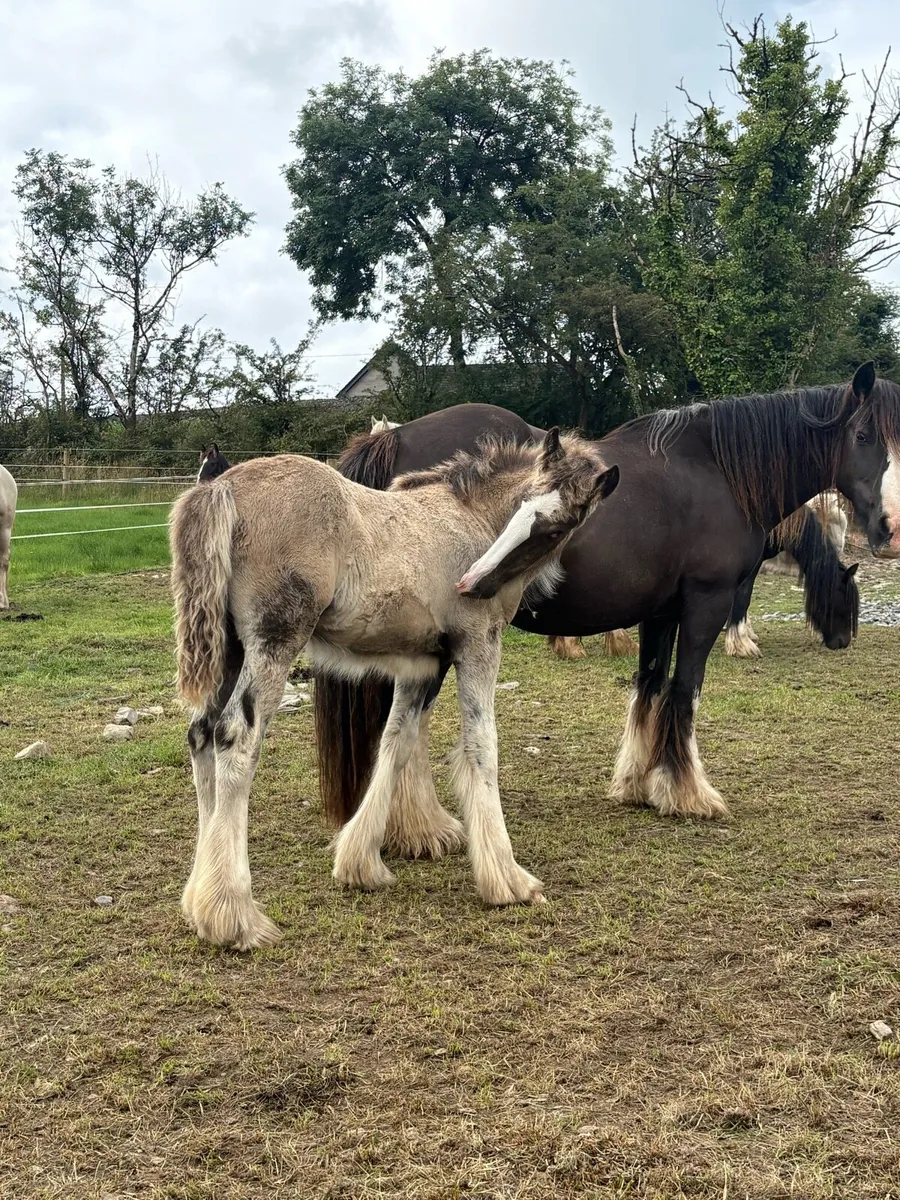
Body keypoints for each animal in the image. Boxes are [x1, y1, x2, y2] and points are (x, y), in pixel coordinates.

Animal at [170, 431, 619, 948]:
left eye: (555, 526)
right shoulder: (477, 645)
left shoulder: (424, 664)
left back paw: (199, 902)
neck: (471, 517)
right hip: (273, 643)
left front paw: (361, 861)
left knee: (201, 737)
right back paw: (233, 914)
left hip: (228, 651)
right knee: (234, 739)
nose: (471, 583)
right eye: (525, 506)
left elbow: (395, 742)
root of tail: (222, 488)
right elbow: (482, 746)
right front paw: (507, 878)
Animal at [316, 365, 900, 853]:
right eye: (864, 436)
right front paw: (689, 792)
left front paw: (638, 783)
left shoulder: (661, 613)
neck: (719, 472)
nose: (890, 530)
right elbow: (684, 691)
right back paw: (423, 830)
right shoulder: (706, 603)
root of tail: (394, 436)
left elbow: (650, 685)